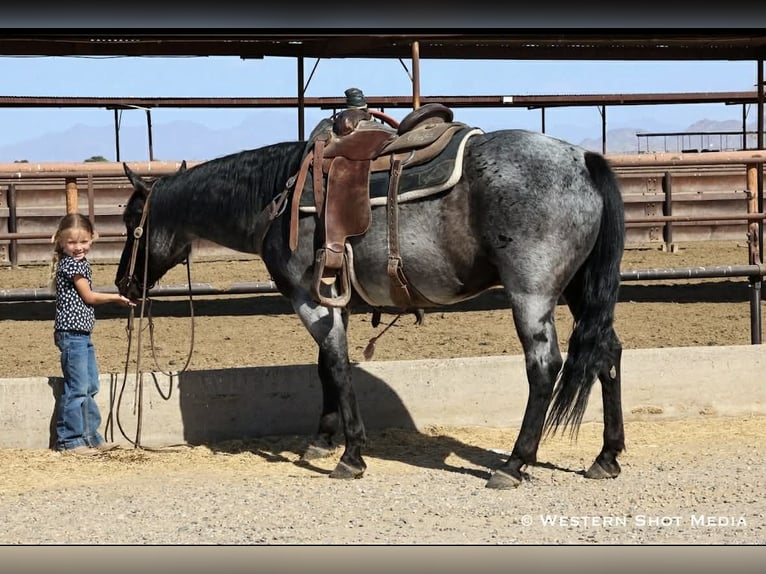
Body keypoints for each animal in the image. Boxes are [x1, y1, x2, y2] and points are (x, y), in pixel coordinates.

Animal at [115, 117, 625, 489]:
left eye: (132, 220)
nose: (124, 283)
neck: (277, 197)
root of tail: (583, 160)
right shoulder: (331, 301)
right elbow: (325, 366)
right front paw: (322, 440)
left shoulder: (309, 300)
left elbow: (338, 367)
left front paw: (351, 454)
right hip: (581, 290)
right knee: (607, 354)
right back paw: (606, 456)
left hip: (531, 292)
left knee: (543, 367)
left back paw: (514, 464)